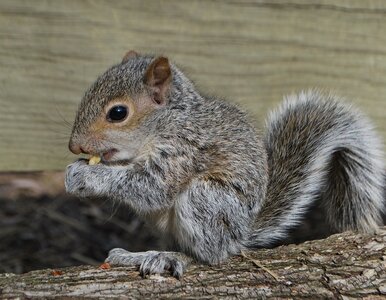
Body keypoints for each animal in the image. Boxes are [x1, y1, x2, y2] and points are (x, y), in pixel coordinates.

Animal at [65, 50, 384, 278]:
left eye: (118, 113)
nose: (74, 146)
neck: (165, 123)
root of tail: (240, 234)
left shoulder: (184, 151)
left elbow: (151, 187)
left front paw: (86, 176)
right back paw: (135, 255)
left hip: (206, 200)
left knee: (210, 254)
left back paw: (171, 258)